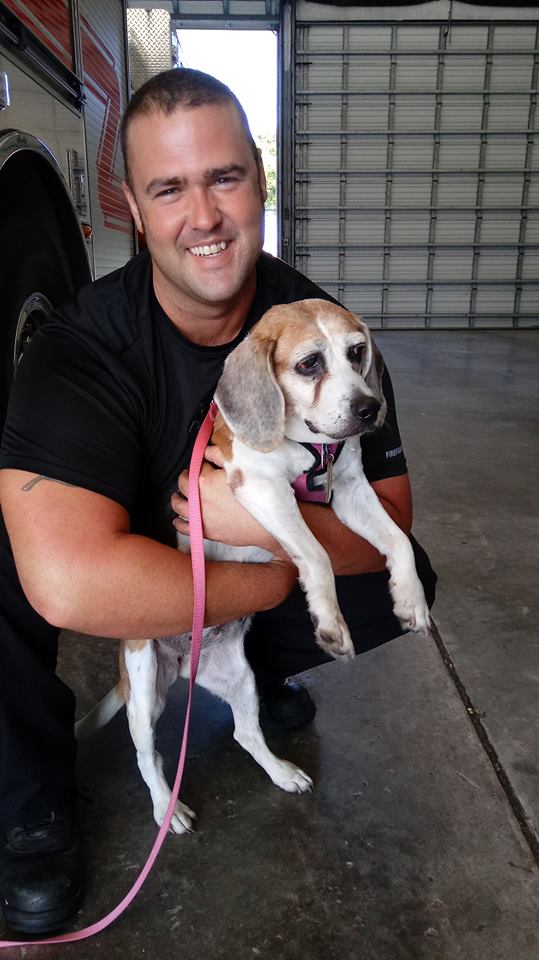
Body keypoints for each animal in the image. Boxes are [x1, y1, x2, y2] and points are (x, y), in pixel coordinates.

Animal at [77, 298, 430, 832]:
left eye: (356, 352)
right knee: (148, 755)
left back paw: (281, 772)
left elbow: (399, 541)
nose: (369, 409)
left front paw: (410, 600)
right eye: (309, 364)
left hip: (241, 681)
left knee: (246, 734)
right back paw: (165, 808)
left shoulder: (351, 489)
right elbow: (317, 554)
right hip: (143, 690)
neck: (308, 445)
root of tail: (185, 664)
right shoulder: (262, 488)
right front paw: (331, 623)